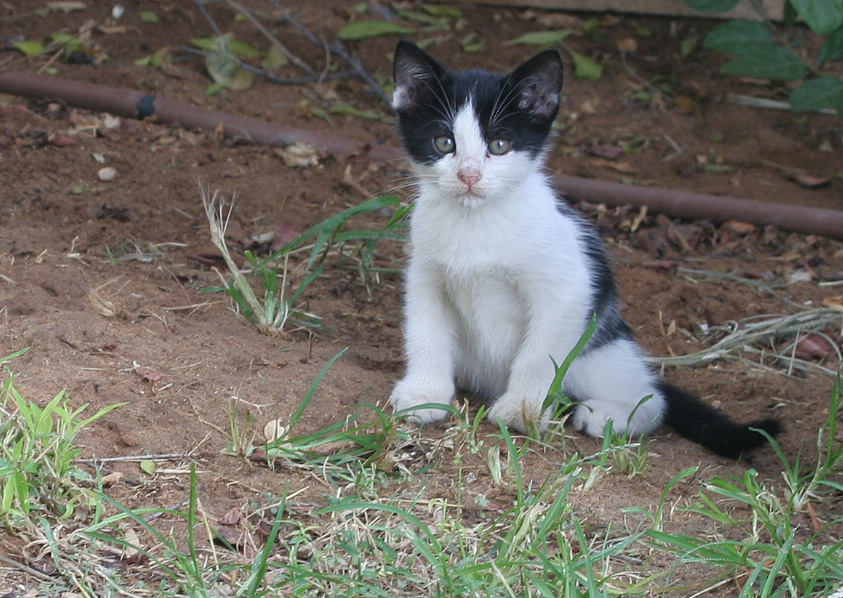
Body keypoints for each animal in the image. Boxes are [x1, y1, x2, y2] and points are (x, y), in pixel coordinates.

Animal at [390, 42, 780, 460]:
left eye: (500, 145)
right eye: (444, 142)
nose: (469, 176)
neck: (476, 222)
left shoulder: (567, 289)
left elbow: (539, 355)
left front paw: (522, 411)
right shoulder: (426, 276)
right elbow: (425, 331)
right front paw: (424, 394)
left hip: (598, 349)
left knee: (651, 397)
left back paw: (610, 415)